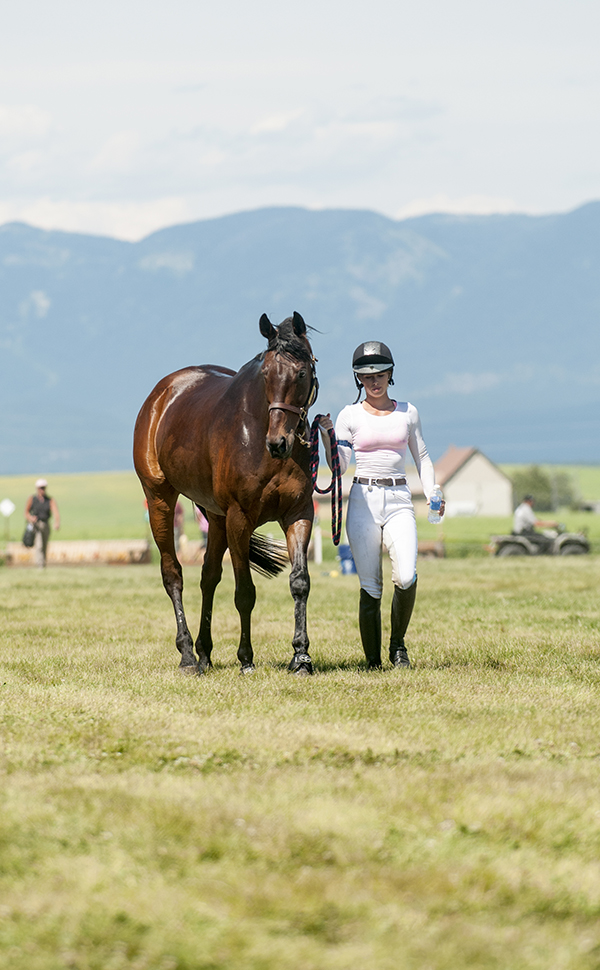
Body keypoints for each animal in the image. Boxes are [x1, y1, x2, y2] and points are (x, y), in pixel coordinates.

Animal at [131, 310, 318, 672]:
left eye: (302, 372)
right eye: (265, 374)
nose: (279, 443)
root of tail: (161, 395)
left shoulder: (298, 514)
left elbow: (300, 582)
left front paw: (301, 655)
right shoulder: (239, 519)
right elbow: (245, 592)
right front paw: (246, 658)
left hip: (215, 518)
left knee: (209, 577)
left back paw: (204, 651)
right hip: (160, 499)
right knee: (173, 574)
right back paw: (188, 653)